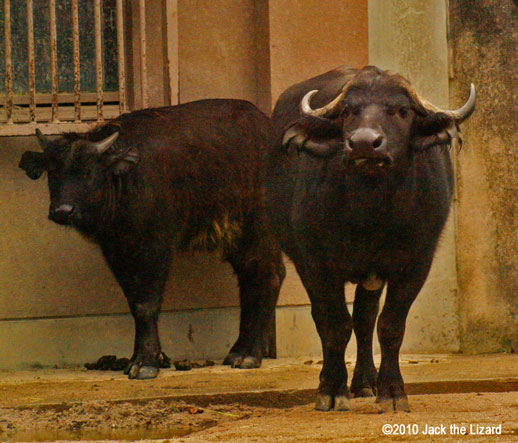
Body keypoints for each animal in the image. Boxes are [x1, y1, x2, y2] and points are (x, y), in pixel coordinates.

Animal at [20, 100, 286, 382]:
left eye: (89, 171)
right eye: (52, 172)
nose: (63, 211)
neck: (124, 183)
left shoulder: (155, 247)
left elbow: (146, 304)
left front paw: (145, 362)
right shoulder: (116, 252)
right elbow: (134, 303)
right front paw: (147, 357)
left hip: (259, 229)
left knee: (268, 277)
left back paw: (249, 354)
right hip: (237, 238)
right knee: (250, 281)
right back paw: (237, 350)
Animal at [266, 66, 478, 412]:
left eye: (402, 111)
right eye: (348, 111)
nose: (364, 143)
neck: (370, 214)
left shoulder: (415, 263)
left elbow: (389, 326)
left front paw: (391, 391)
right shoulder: (317, 265)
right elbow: (335, 327)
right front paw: (331, 390)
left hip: (372, 277)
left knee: (365, 320)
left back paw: (366, 381)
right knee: (325, 320)